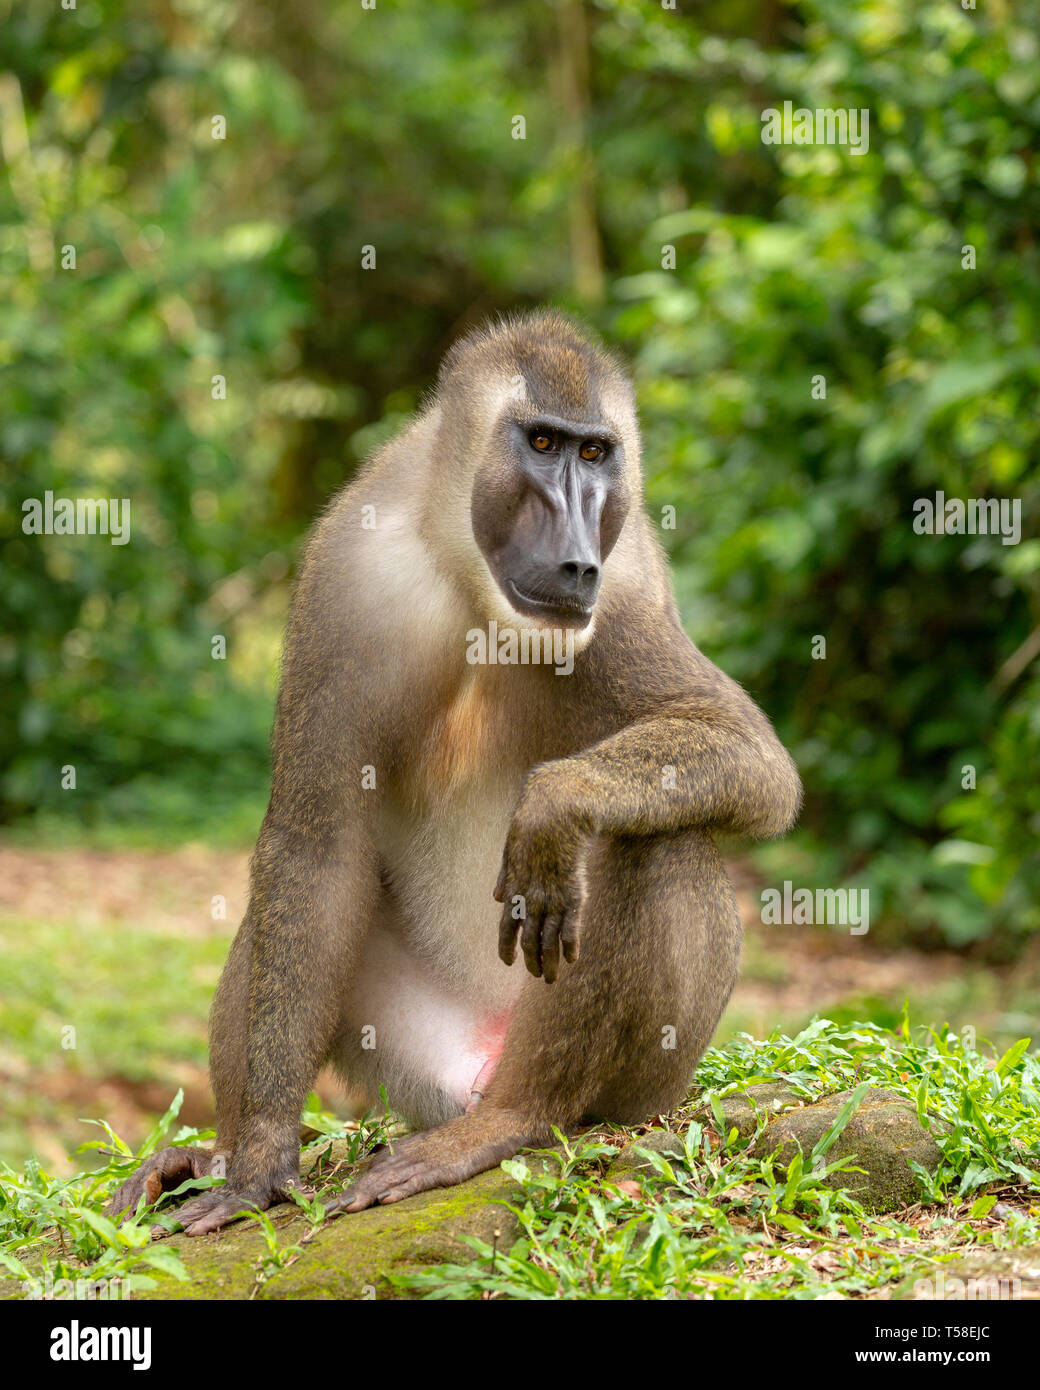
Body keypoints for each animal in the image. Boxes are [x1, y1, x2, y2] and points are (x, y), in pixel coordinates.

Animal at [108, 310, 800, 1234]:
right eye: (540, 442)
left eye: (595, 454)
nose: (576, 553)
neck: (474, 584)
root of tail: (479, 1066)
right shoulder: (346, 578)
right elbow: (315, 843)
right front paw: (256, 1160)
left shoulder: (627, 585)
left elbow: (747, 752)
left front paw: (557, 804)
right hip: (415, 1052)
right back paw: (215, 1150)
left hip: (646, 1080)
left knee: (653, 842)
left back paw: (512, 1117)